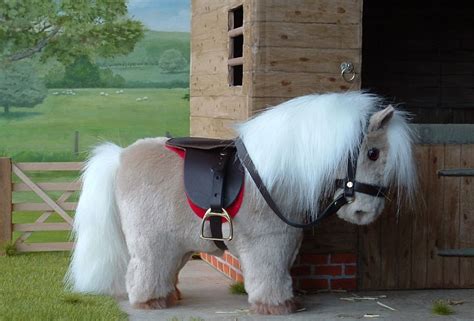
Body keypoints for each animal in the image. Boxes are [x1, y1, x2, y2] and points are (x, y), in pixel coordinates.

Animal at [65, 91, 414, 314]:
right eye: (373, 153)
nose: (364, 213)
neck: (274, 176)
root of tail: (121, 156)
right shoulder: (267, 244)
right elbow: (269, 277)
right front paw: (277, 307)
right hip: (151, 243)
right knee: (143, 273)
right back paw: (151, 302)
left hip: (176, 243)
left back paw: (170, 294)